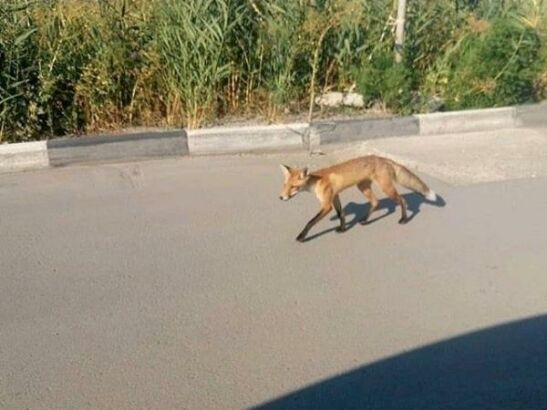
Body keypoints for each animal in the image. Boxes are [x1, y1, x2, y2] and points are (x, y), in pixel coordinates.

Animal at [279, 155, 437, 242]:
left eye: (293, 187)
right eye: (285, 185)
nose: (281, 197)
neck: (317, 182)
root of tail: (383, 159)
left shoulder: (327, 205)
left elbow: (310, 222)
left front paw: (302, 236)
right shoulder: (335, 196)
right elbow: (341, 214)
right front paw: (343, 229)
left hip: (386, 189)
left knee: (402, 201)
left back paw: (404, 219)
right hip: (363, 187)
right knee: (375, 202)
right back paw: (366, 220)